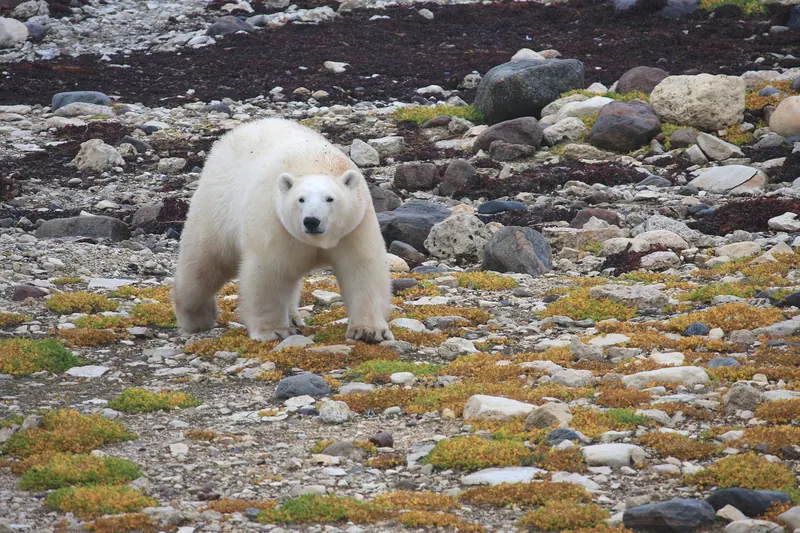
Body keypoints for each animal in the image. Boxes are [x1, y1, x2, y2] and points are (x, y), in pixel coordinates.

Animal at [173, 117, 394, 344]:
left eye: (330, 198)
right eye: (301, 199)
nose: (311, 221)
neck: (317, 164)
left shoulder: (355, 227)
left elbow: (362, 269)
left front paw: (369, 331)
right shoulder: (275, 225)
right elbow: (269, 273)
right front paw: (274, 331)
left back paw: (293, 317)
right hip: (217, 206)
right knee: (204, 264)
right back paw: (197, 318)